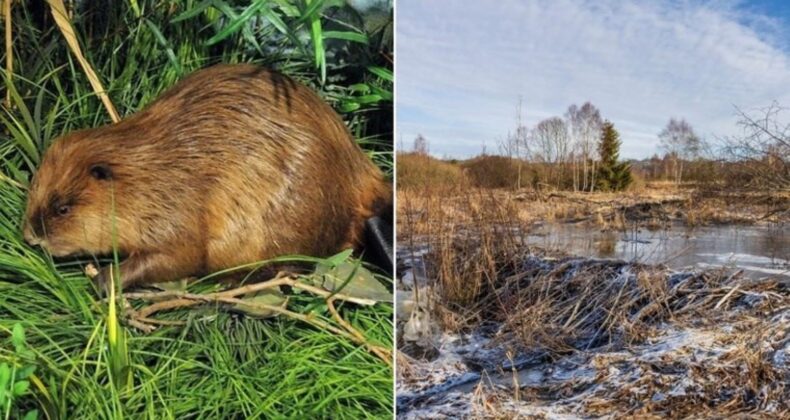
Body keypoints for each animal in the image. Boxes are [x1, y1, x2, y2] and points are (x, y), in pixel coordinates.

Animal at [18, 64, 390, 290]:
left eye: (62, 208)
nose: (30, 236)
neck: (147, 173)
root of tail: (366, 179)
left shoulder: (176, 210)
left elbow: (181, 255)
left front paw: (105, 280)